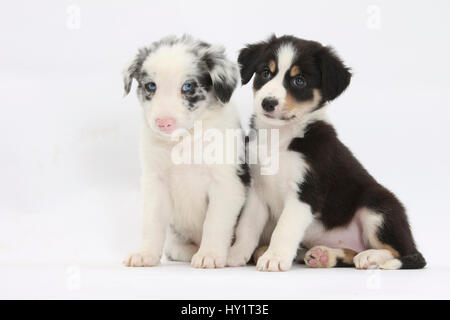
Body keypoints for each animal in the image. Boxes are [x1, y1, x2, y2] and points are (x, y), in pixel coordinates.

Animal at [123, 35, 248, 268]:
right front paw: (145, 253)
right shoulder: (155, 180)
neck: (184, 139)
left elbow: (214, 222)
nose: (163, 123)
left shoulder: (226, 183)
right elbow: (151, 221)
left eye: (188, 86)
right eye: (151, 86)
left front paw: (209, 254)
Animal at [229, 35, 426, 270]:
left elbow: (284, 229)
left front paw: (274, 257)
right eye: (266, 73)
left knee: (404, 253)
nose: (267, 103)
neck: (280, 138)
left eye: (299, 81)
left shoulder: (306, 192)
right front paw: (235, 254)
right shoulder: (257, 190)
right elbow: (247, 227)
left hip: (377, 208)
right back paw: (325, 254)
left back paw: (370, 256)